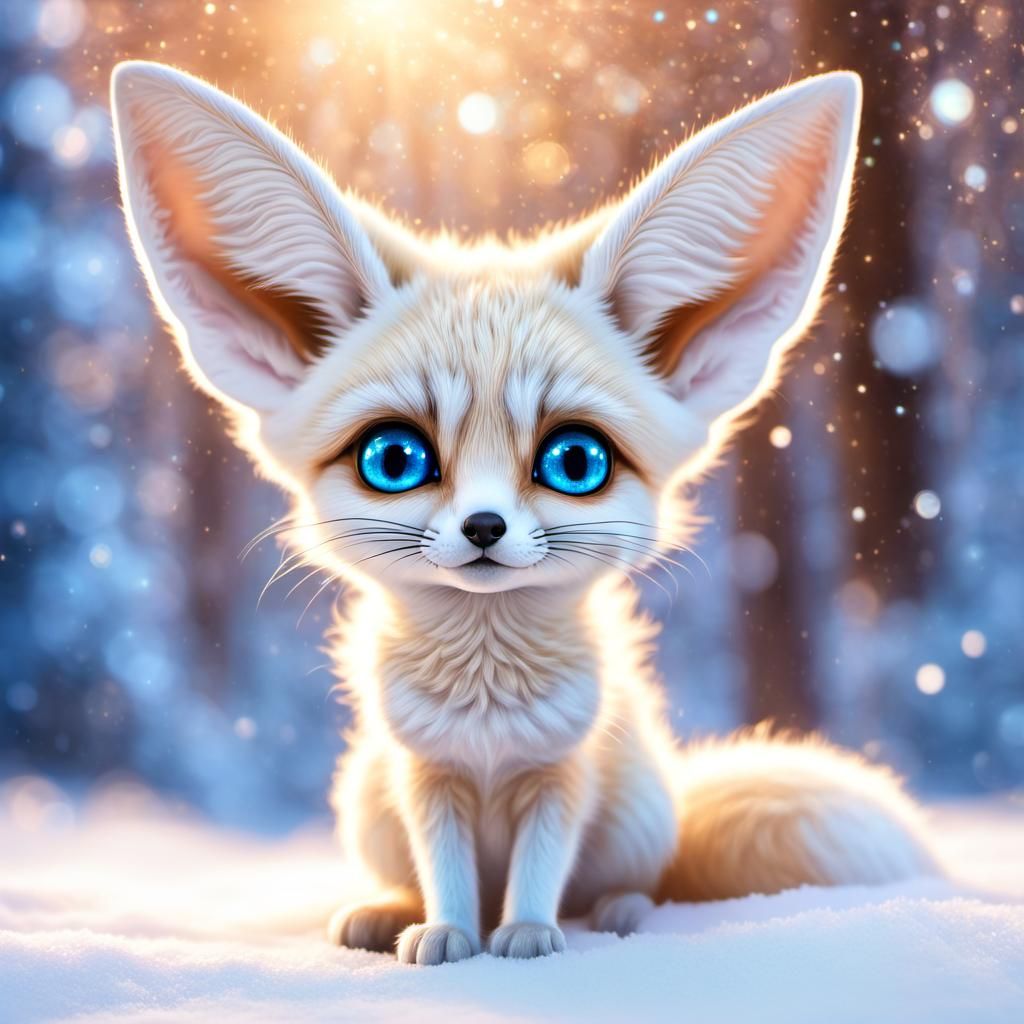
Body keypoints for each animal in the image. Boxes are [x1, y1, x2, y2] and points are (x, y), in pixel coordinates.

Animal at [110, 61, 938, 964]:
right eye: (393, 459)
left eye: (575, 463)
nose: (483, 528)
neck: (487, 716)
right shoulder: (424, 775)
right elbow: (446, 871)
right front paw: (446, 933)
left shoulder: (562, 776)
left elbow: (542, 868)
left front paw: (529, 936)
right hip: (367, 800)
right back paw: (384, 913)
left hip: (634, 811)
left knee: (640, 879)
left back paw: (616, 912)